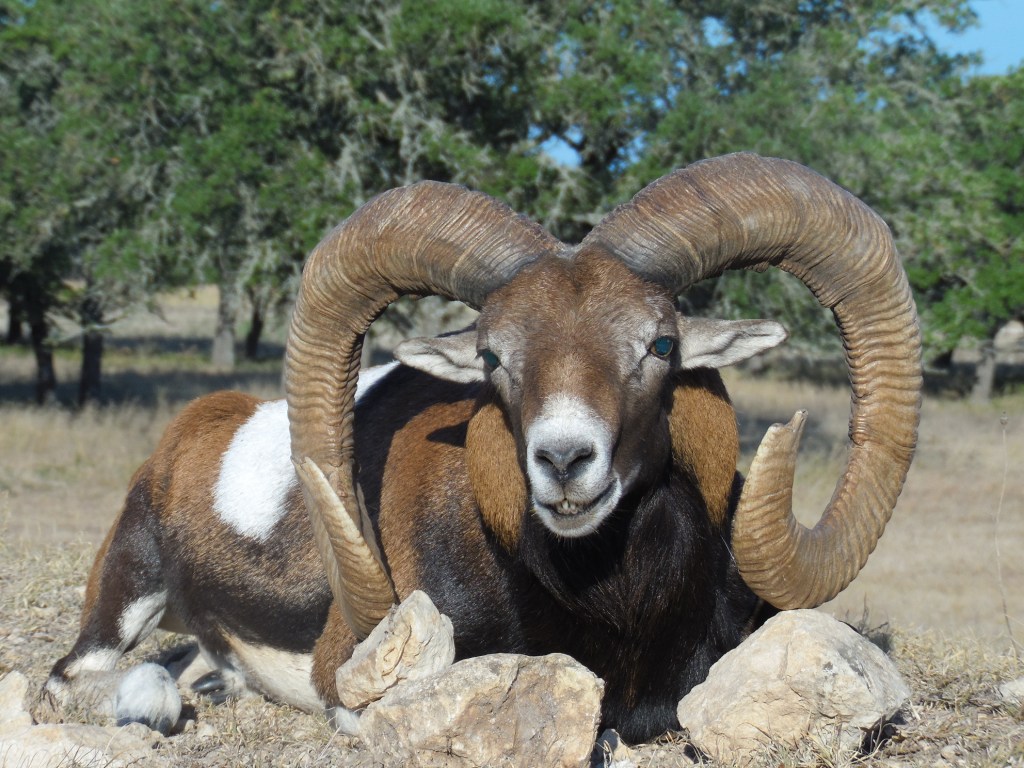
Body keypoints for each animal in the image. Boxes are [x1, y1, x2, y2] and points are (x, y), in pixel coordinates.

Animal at [43, 153, 922, 743]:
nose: (564, 462)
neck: (612, 608)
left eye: (662, 344)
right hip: (123, 599)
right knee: (83, 680)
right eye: (494, 355)